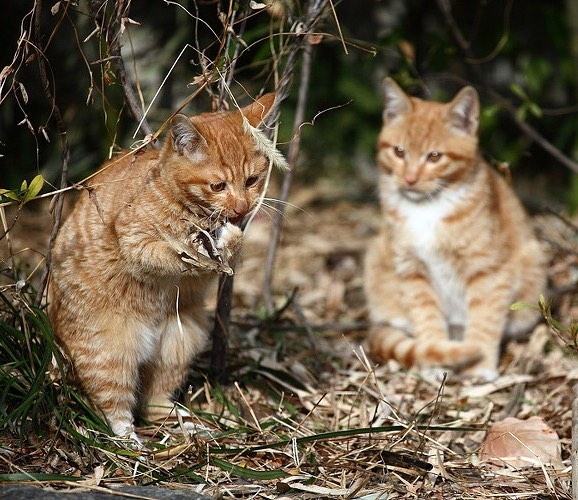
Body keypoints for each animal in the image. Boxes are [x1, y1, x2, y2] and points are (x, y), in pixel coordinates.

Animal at [48, 94, 276, 442]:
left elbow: (228, 247)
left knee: (152, 402)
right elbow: (164, 255)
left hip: (180, 341)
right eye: (218, 186)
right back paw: (130, 440)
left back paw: (185, 423)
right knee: (113, 404)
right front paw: (189, 251)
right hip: (110, 352)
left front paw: (223, 239)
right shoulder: (134, 242)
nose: (242, 207)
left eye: (251, 180)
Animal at [362, 80, 548, 380]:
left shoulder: (489, 270)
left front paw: (479, 364)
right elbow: (426, 316)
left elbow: (485, 318)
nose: (410, 179)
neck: (427, 209)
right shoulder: (411, 269)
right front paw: (434, 357)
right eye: (399, 151)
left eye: (434, 156)